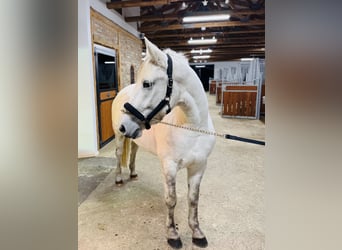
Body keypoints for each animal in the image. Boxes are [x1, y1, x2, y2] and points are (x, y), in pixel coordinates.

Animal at [112, 37, 215, 248]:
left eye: (147, 84)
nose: (125, 125)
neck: (193, 129)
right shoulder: (169, 167)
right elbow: (171, 200)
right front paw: (172, 235)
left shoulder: (199, 167)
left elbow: (193, 199)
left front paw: (197, 233)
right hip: (119, 138)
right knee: (118, 155)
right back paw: (118, 179)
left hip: (136, 138)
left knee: (133, 153)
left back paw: (133, 173)